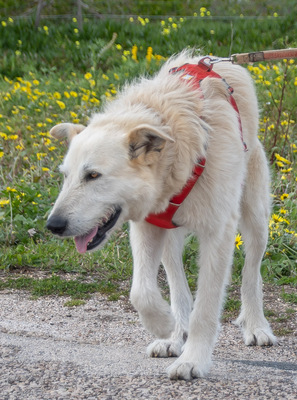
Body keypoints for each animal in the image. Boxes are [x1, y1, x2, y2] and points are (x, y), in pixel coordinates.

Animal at [45, 51, 276, 380]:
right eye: (66, 176)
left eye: (93, 175)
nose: (53, 225)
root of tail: (220, 60)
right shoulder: (146, 227)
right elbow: (140, 292)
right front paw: (165, 326)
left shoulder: (218, 234)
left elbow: (206, 308)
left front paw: (193, 360)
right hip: (169, 237)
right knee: (178, 285)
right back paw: (175, 334)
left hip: (255, 219)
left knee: (252, 272)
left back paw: (256, 326)